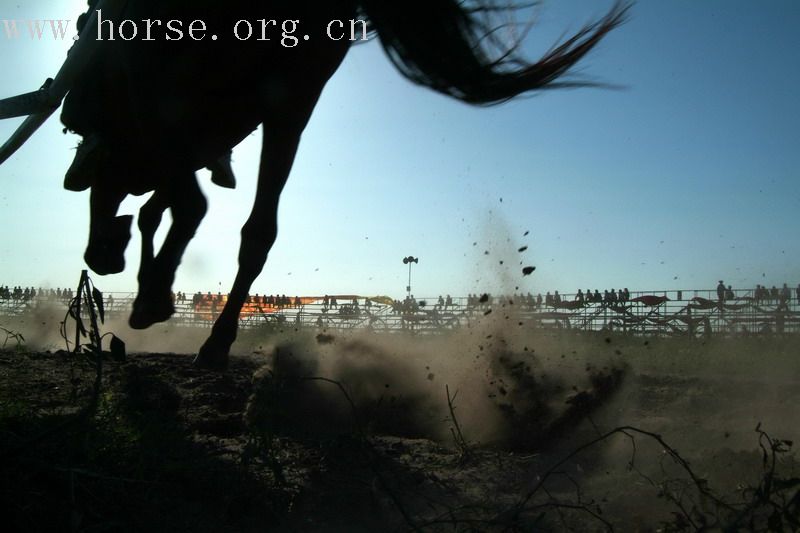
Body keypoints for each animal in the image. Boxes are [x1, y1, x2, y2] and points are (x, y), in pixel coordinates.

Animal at [0, 0, 628, 368]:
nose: (100, 255)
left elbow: (192, 211)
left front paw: (160, 300)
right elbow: (182, 209)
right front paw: (156, 290)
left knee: (215, 210)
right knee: (223, 213)